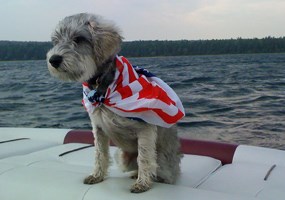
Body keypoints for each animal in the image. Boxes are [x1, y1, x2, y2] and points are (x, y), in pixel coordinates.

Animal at [46, 12, 184, 194]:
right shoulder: (98, 128)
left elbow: (145, 158)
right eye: (55, 41)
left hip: (163, 161)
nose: (53, 59)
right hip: (122, 156)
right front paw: (97, 175)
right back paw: (135, 174)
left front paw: (142, 184)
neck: (101, 90)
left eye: (78, 38)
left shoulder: (145, 129)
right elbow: (100, 154)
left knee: (161, 172)